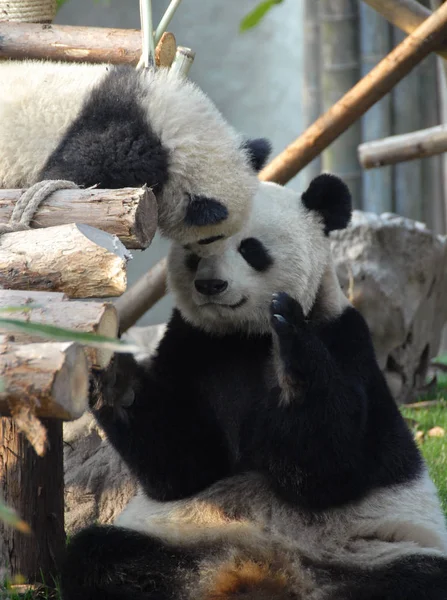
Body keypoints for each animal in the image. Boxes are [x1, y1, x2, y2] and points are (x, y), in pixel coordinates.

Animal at [60, 175, 447, 600]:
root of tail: (260, 568)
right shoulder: (192, 347)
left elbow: (330, 468)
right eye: (196, 249)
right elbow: (182, 466)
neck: (244, 338)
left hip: (373, 550)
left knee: (419, 577)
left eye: (250, 249)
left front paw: (291, 351)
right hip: (178, 540)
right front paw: (114, 374)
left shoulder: (347, 341)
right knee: (97, 553)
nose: (210, 284)